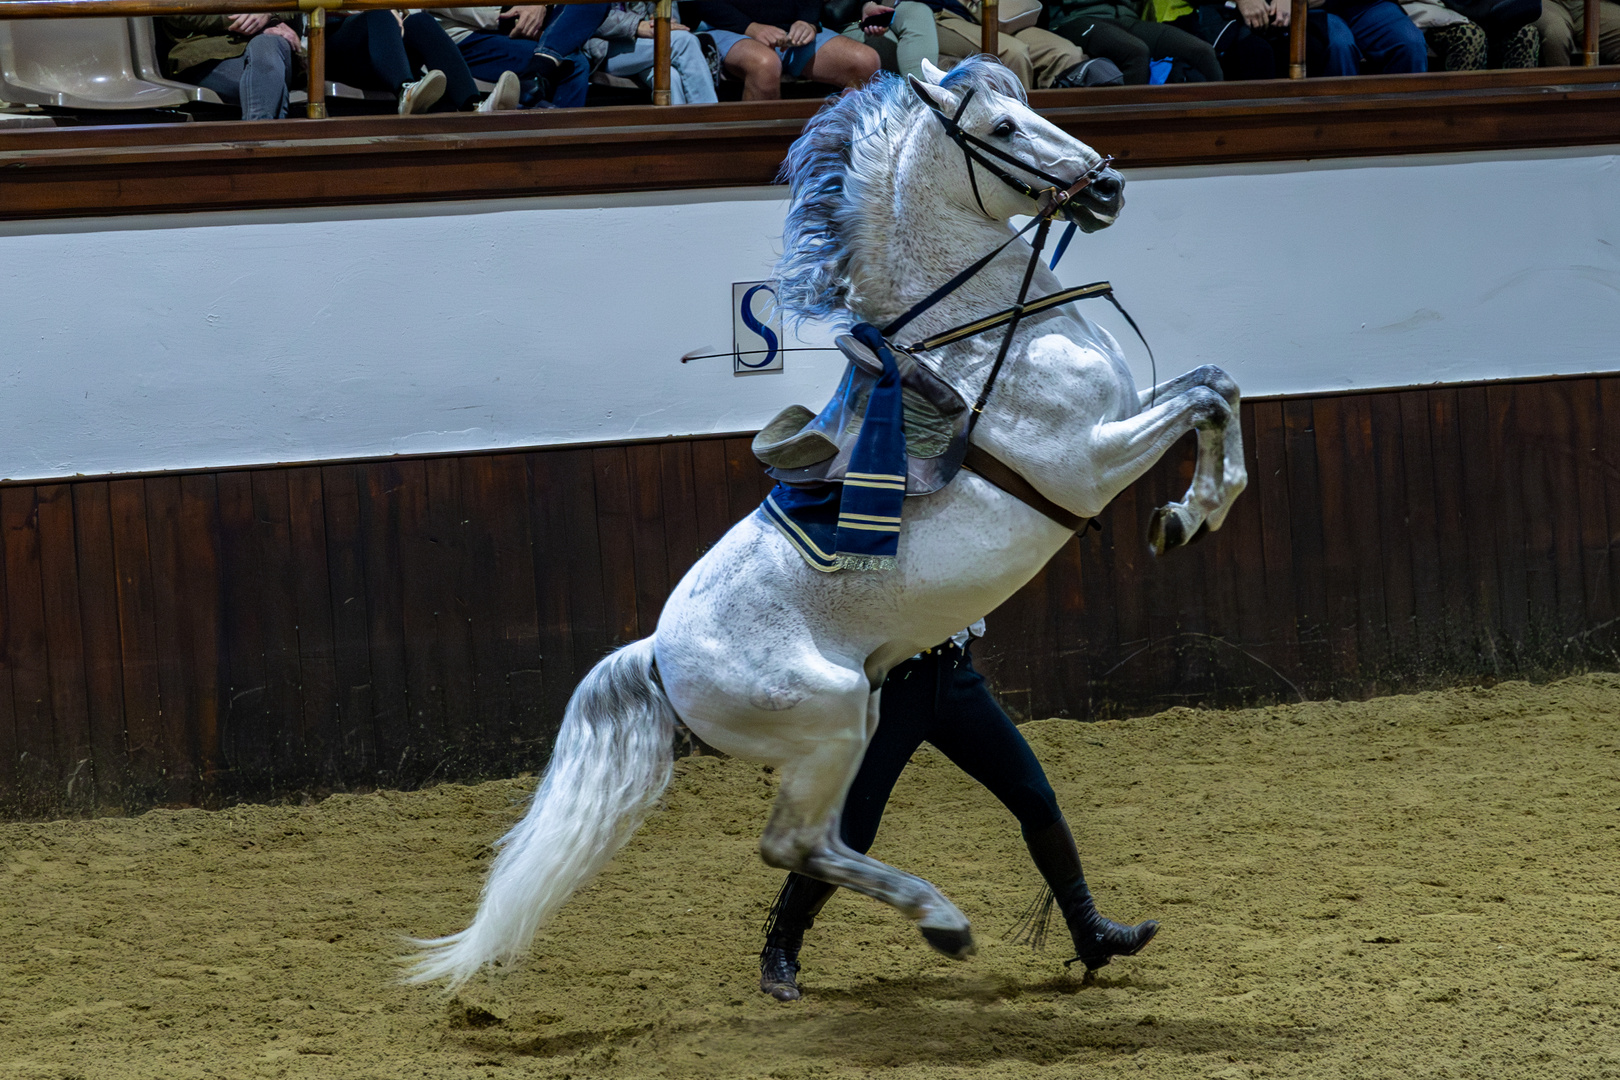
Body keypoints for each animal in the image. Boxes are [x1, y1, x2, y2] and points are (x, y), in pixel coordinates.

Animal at [401, 57, 1237, 990]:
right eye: (1006, 128)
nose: (1110, 186)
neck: (994, 339)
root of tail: (656, 655)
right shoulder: (1089, 465)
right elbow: (1208, 401)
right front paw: (1191, 514)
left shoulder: (1124, 420)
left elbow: (1216, 384)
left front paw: (1186, 514)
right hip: (836, 718)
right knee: (793, 845)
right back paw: (939, 922)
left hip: (853, 725)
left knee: (823, 843)